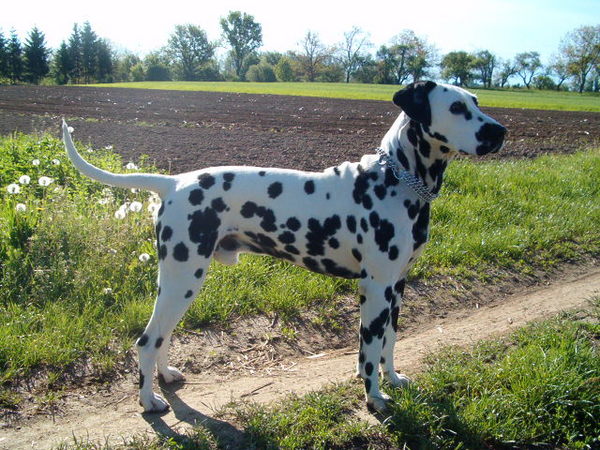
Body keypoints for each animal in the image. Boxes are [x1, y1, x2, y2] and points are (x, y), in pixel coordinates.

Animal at [61, 80, 504, 412]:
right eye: (457, 107)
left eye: (477, 102)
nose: (500, 131)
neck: (396, 181)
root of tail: (172, 182)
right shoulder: (376, 290)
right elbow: (368, 350)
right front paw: (374, 397)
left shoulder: (397, 287)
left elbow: (390, 342)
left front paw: (393, 378)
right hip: (182, 280)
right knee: (147, 341)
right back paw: (148, 401)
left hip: (176, 283)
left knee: (162, 337)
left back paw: (165, 377)